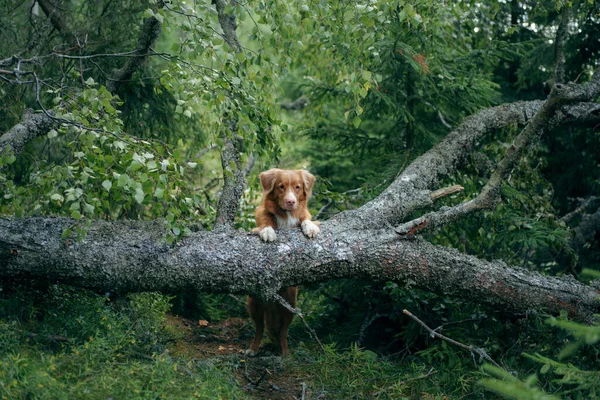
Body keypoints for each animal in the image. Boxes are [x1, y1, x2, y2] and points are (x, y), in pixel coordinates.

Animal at [245, 167, 318, 354]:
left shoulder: (302, 215)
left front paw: (310, 227)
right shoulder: (262, 216)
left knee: (283, 332)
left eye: (298, 187)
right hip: (254, 304)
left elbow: (305, 218)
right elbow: (265, 221)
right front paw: (267, 231)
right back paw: (253, 349)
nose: (291, 202)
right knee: (259, 328)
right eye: (281, 187)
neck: (287, 215)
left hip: (289, 306)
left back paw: (284, 354)